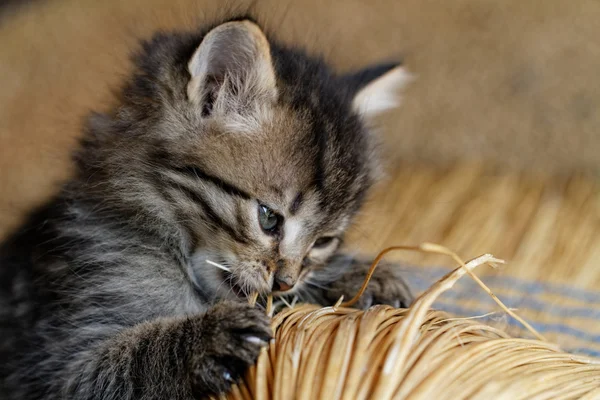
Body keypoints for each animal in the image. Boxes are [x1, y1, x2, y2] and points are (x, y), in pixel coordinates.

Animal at [0, 18, 412, 400]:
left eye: (324, 241)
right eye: (268, 218)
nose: (285, 281)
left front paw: (359, 277)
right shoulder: (57, 366)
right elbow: (136, 357)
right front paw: (209, 337)